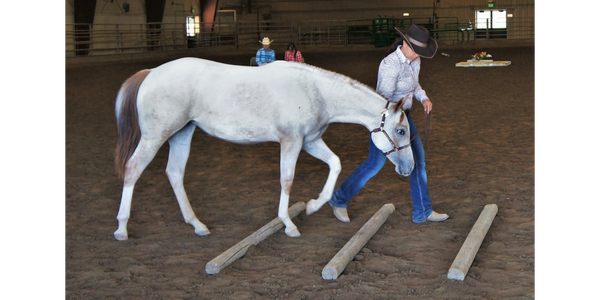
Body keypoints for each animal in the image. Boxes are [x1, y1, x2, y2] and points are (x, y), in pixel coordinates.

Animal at [112, 56, 412, 241]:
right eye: (401, 130)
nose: (409, 168)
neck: (316, 92)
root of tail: (151, 73)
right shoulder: (291, 141)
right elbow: (287, 180)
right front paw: (288, 224)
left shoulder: (310, 141)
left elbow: (335, 164)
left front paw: (313, 206)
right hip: (155, 136)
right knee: (132, 169)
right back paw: (122, 228)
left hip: (182, 134)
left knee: (174, 173)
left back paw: (197, 225)